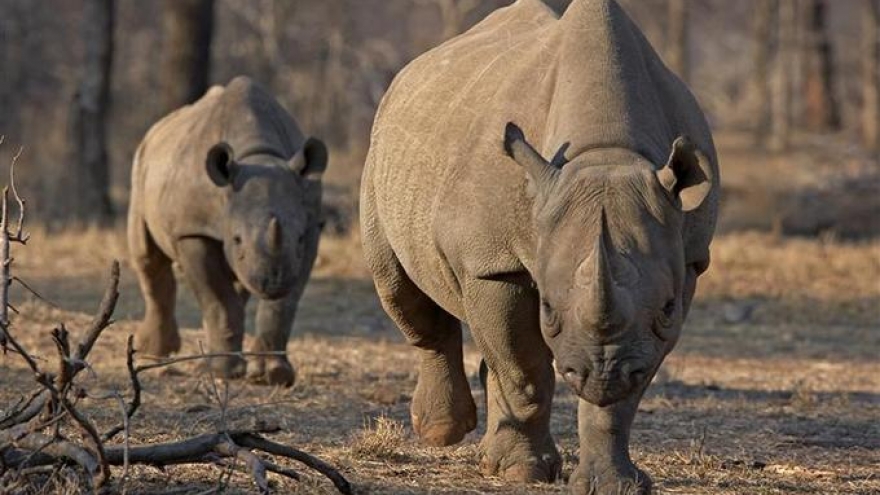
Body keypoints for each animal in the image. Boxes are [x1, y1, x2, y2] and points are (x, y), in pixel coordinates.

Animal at [128, 76, 327, 386]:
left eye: (298, 238)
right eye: (236, 239)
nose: (273, 281)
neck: (259, 156)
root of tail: (158, 128)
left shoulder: (311, 225)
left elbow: (283, 306)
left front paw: (273, 376)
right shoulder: (194, 230)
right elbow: (218, 300)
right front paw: (221, 374)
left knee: (238, 283)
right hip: (141, 165)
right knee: (147, 256)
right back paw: (154, 353)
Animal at [360, 0, 718, 492]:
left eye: (666, 308)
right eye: (547, 309)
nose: (601, 374)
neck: (606, 151)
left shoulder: (685, 262)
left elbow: (625, 391)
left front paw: (613, 483)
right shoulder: (492, 261)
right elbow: (524, 367)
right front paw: (521, 472)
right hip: (382, 154)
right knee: (399, 287)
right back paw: (442, 432)